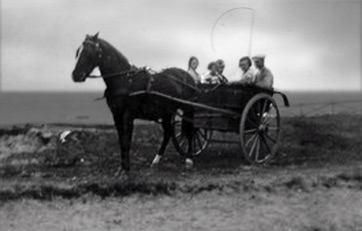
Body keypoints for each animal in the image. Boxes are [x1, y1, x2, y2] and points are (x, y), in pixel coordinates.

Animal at [72, 33, 197, 172]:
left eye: (89, 52)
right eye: (79, 52)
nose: (76, 75)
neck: (125, 80)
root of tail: (188, 76)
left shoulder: (128, 116)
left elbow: (127, 142)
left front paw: (126, 169)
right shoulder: (116, 116)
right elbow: (121, 142)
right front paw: (122, 168)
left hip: (188, 108)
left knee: (190, 130)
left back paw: (189, 158)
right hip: (167, 112)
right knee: (168, 133)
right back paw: (156, 160)